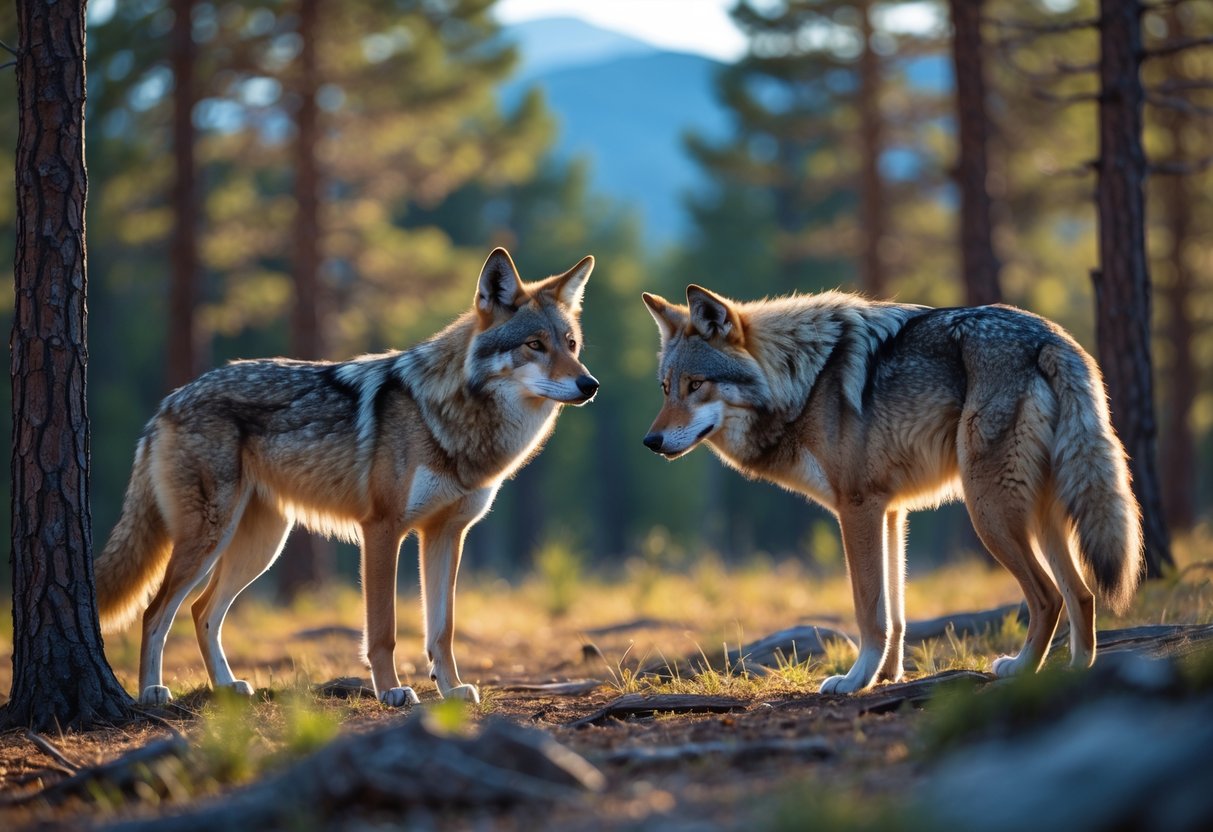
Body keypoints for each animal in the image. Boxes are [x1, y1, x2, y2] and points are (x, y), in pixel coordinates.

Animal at [95, 248, 598, 707]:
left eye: (571, 345)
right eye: (534, 345)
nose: (589, 385)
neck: (448, 417)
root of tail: (168, 402)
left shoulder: (445, 534)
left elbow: (443, 630)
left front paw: (452, 689)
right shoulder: (382, 529)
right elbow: (383, 630)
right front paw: (392, 691)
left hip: (260, 547)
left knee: (202, 610)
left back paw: (227, 687)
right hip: (210, 539)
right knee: (155, 612)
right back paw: (151, 692)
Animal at [641, 285, 1142, 693]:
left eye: (696, 385)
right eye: (665, 388)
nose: (651, 441)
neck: (802, 381)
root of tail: (1052, 339)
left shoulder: (856, 508)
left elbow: (868, 610)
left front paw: (855, 680)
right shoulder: (891, 512)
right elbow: (895, 613)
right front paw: (886, 676)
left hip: (990, 512)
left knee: (1048, 596)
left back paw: (1021, 669)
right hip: (1039, 517)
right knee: (1083, 593)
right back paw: (1076, 671)